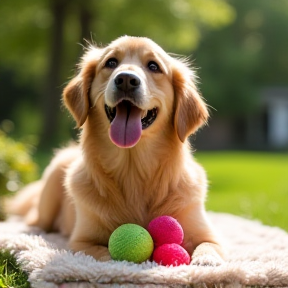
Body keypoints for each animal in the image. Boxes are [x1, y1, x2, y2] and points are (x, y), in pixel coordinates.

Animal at [7, 36, 225, 266]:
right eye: (111, 62)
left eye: (153, 66)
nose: (126, 80)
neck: (133, 170)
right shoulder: (81, 242)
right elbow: (105, 256)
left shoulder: (207, 233)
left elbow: (209, 245)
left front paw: (206, 261)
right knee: (34, 220)